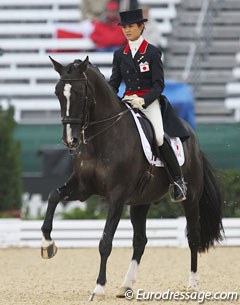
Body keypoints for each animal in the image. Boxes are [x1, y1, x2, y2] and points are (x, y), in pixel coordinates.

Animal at [40, 57, 223, 300]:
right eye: (58, 92)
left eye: (79, 92)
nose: (70, 140)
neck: (103, 137)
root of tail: (192, 136)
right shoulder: (82, 188)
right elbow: (53, 195)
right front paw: (47, 244)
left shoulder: (117, 196)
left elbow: (106, 241)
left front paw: (98, 287)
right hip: (140, 202)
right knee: (140, 241)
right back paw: (125, 285)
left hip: (190, 198)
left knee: (193, 235)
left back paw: (192, 284)